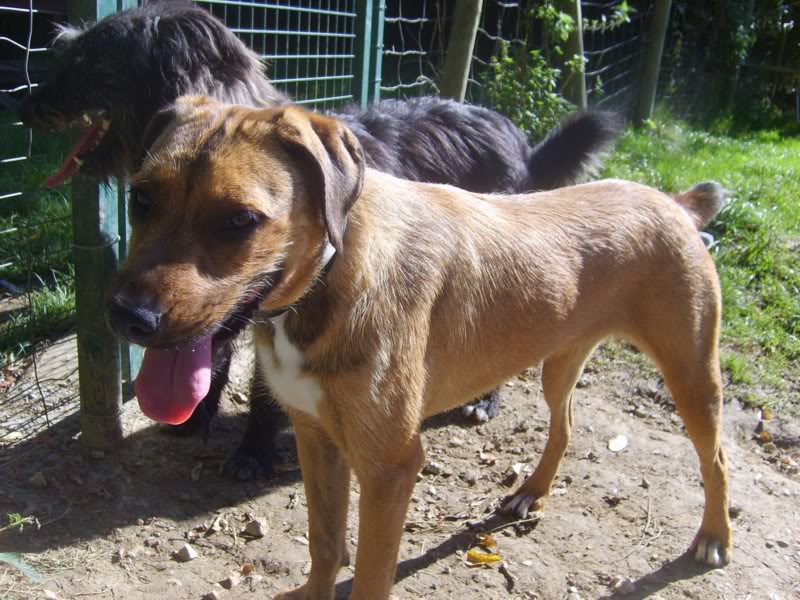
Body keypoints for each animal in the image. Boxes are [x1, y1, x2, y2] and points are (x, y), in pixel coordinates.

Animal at [17, 0, 620, 478]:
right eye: (141, 201)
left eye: (88, 57)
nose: (26, 107)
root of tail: (520, 139)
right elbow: (207, 350)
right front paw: (197, 416)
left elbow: (265, 387)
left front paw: (254, 450)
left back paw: (483, 400)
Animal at [109, 96, 736, 596]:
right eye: (140, 199)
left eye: (240, 219)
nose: (128, 318)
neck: (329, 279)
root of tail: (675, 203)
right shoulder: (317, 438)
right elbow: (323, 544)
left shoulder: (390, 467)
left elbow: (368, 574)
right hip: (559, 362)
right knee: (566, 424)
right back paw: (531, 493)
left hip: (691, 373)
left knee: (716, 458)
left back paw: (712, 537)